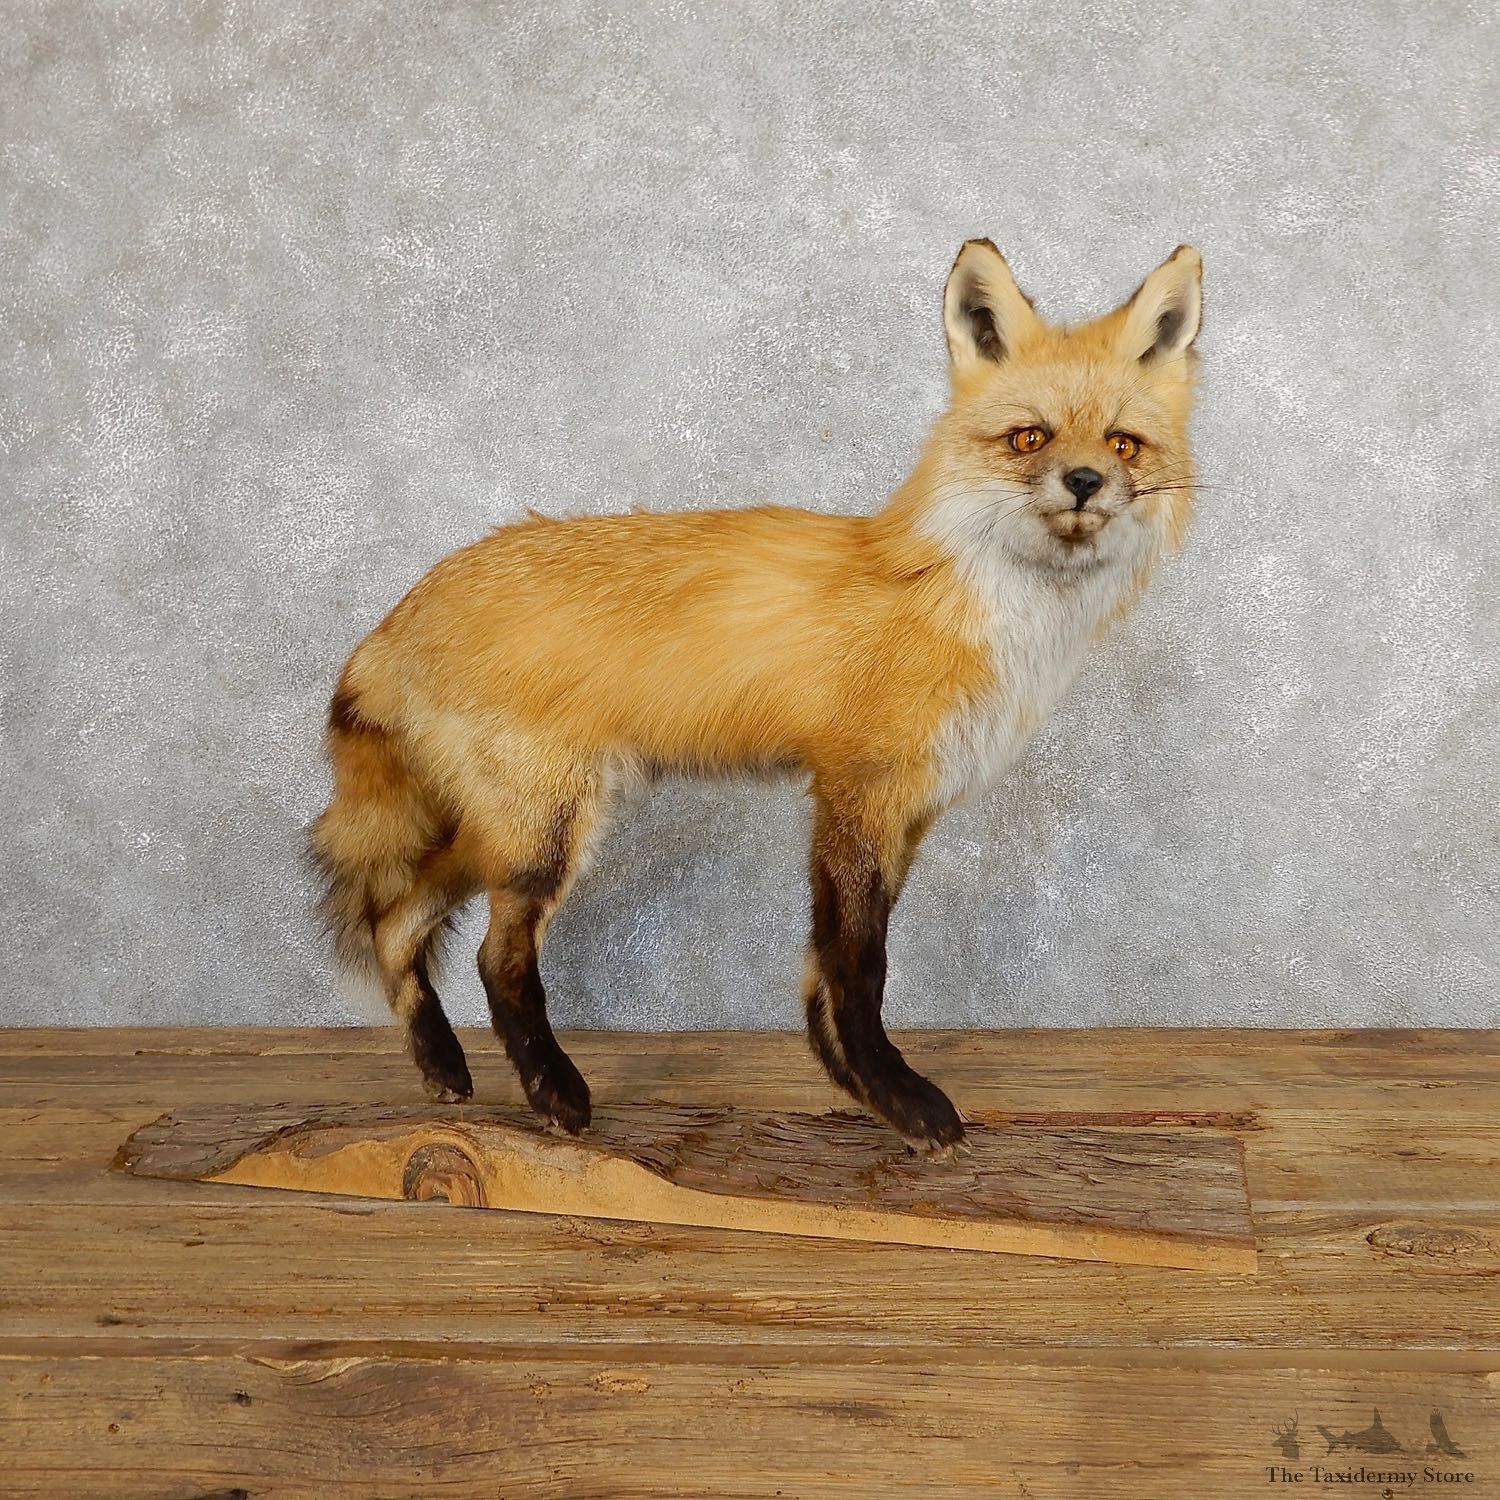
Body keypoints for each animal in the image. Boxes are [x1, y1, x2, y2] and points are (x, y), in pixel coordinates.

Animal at [309, 239, 1203, 1153]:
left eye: (1125, 444)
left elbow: (822, 973)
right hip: (544, 834)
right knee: (494, 958)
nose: (1086, 480)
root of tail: (404, 610)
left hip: (509, 826)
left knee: (397, 920)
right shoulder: (859, 790)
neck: (971, 602)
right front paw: (901, 1100)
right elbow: (858, 967)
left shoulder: (905, 813)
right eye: (1030, 438)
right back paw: (553, 1092)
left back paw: (441, 1064)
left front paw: (853, 1084)